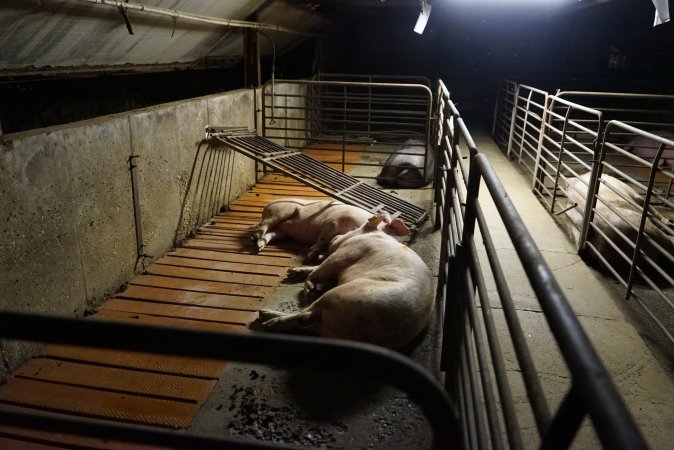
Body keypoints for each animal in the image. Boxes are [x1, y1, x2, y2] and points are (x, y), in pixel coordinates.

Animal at [255, 213, 434, 350]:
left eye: (355, 228)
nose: (336, 236)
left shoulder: (344, 254)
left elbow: (318, 270)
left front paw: (309, 288)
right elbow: (315, 268)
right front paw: (292, 273)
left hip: (341, 293)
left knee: (305, 313)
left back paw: (267, 319)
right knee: (304, 320)